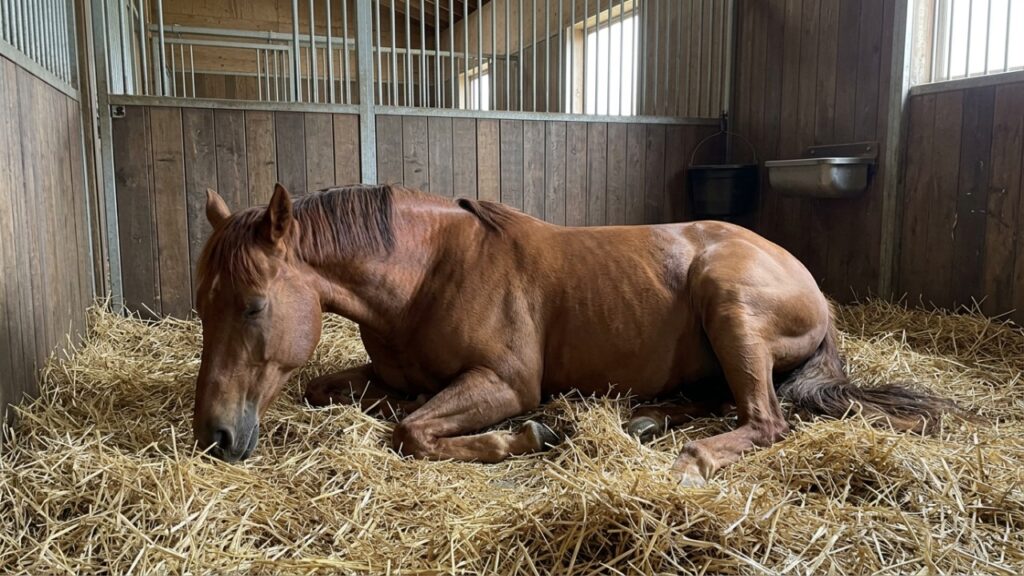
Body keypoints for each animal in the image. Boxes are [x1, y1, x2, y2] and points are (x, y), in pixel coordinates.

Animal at [192, 182, 954, 485]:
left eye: (254, 306)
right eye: (202, 305)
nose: (215, 437)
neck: (428, 273)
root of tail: (812, 285)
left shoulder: (503, 383)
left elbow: (410, 431)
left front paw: (526, 435)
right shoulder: (387, 374)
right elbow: (332, 392)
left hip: (728, 303)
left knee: (765, 419)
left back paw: (689, 460)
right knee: (720, 402)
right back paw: (643, 421)